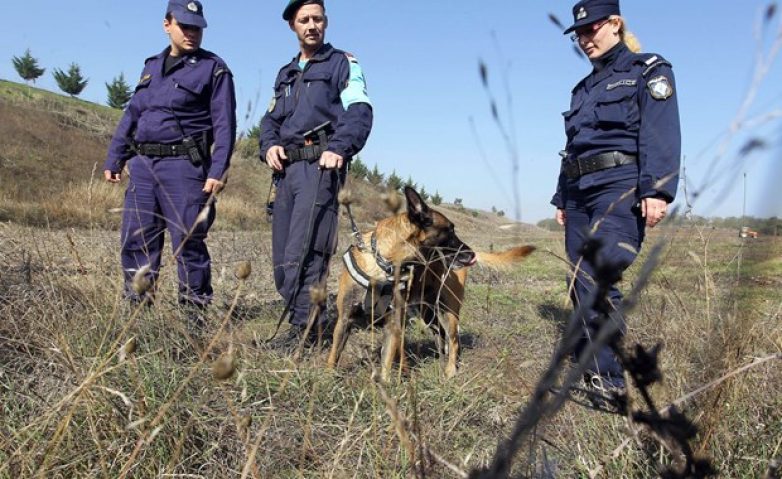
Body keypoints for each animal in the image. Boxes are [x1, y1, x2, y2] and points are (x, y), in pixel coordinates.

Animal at [328, 186, 536, 380]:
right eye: (449, 231)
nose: (471, 254)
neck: (383, 264)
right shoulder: (345, 319)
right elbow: (333, 356)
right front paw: (329, 379)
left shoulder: (392, 325)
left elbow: (386, 365)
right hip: (428, 313)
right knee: (441, 337)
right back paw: (439, 362)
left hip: (449, 311)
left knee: (453, 340)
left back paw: (450, 370)